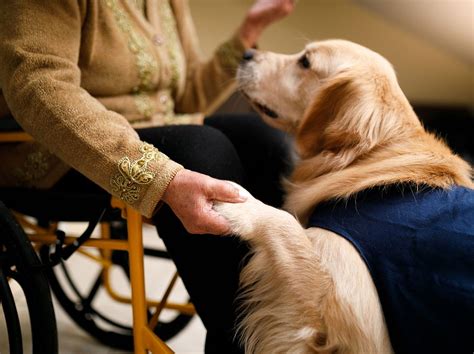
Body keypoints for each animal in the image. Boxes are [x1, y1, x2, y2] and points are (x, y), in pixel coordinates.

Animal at [216, 39, 474, 354]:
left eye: (305, 62)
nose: (246, 53)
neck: (368, 156)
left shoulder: (364, 324)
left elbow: (285, 222)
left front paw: (239, 204)